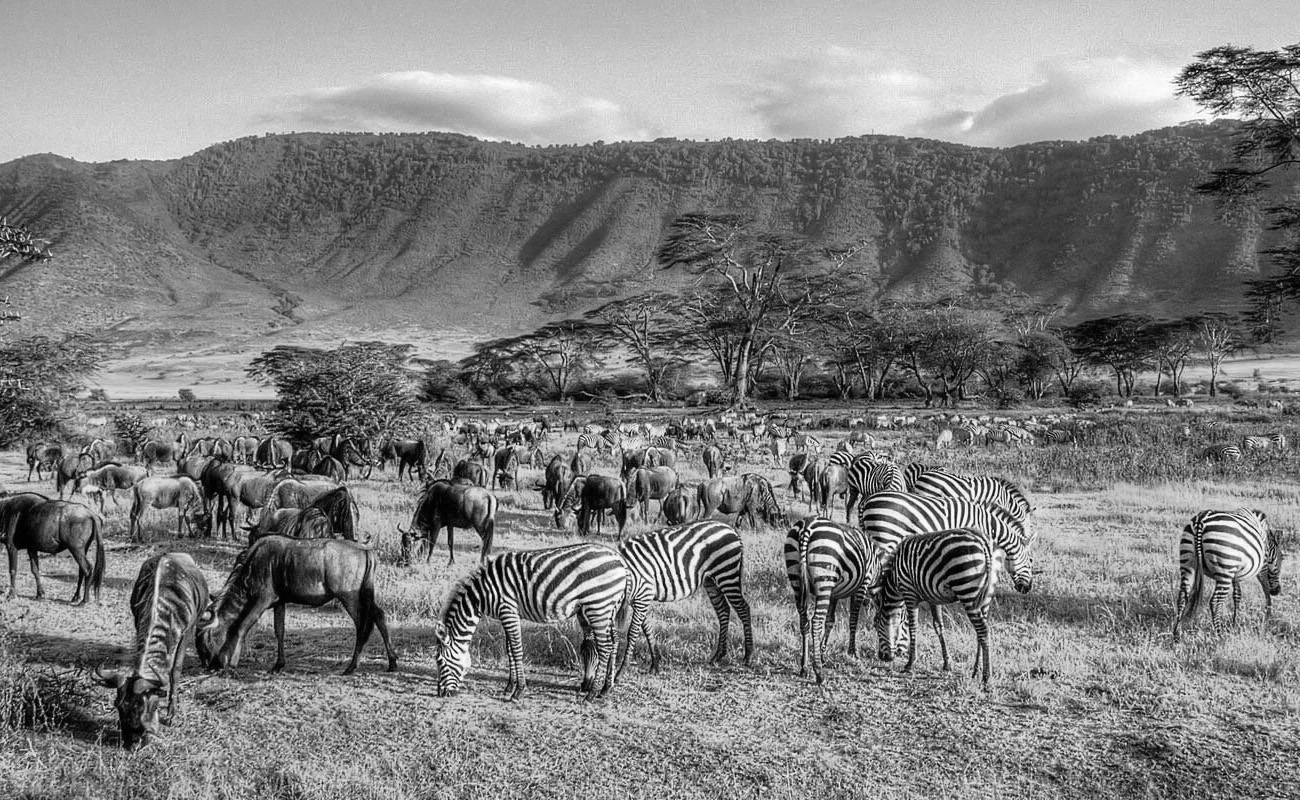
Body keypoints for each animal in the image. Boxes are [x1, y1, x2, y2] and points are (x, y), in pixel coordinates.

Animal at [431, 543, 629, 702]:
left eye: (440, 662)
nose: (441, 694)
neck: (481, 595)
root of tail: (619, 559)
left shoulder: (508, 610)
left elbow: (516, 650)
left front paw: (518, 691)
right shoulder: (508, 614)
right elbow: (509, 649)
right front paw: (509, 686)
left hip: (598, 606)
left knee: (605, 647)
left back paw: (591, 694)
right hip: (608, 608)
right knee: (614, 642)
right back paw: (606, 689)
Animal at [616, 520, 754, 676]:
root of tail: (730, 528)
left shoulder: (642, 594)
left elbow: (632, 632)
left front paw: (621, 670)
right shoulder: (638, 599)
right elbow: (647, 629)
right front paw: (655, 664)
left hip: (726, 572)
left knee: (743, 608)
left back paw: (748, 656)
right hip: (711, 580)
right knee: (723, 610)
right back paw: (718, 655)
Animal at [780, 520, 883, 681]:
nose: (887, 655)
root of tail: (807, 526)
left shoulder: (834, 594)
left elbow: (830, 621)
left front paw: (823, 654)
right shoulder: (862, 585)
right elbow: (853, 620)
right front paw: (853, 652)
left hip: (796, 577)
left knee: (804, 622)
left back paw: (804, 667)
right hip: (824, 577)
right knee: (816, 621)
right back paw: (818, 672)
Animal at [878, 525, 998, 686]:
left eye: (876, 626)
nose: (881, 657)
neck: (895, 580)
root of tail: (981, 539)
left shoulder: (909, 592)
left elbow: (912, 627)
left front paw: (910, 663)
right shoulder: (934, 599)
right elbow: (938, 626)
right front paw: (947, 663)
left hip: (967, 589)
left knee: (983, 631)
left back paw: (986, 678)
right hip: (983, 597)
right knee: (980, 631)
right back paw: (975, 671)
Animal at [1175, 509, 1284, 642]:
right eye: (1282, 558)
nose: (1277, 591)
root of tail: (1200, 520)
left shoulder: (1235, 573)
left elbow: (1237, 595)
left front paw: (1234, 623)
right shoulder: (1262, 565)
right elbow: (1265, 588)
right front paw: (1268, 616)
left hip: (1188, 563)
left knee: (1182, 597)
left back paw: (1176, 634)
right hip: (1224, 569)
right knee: (1215, 602)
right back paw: (1220, 637)